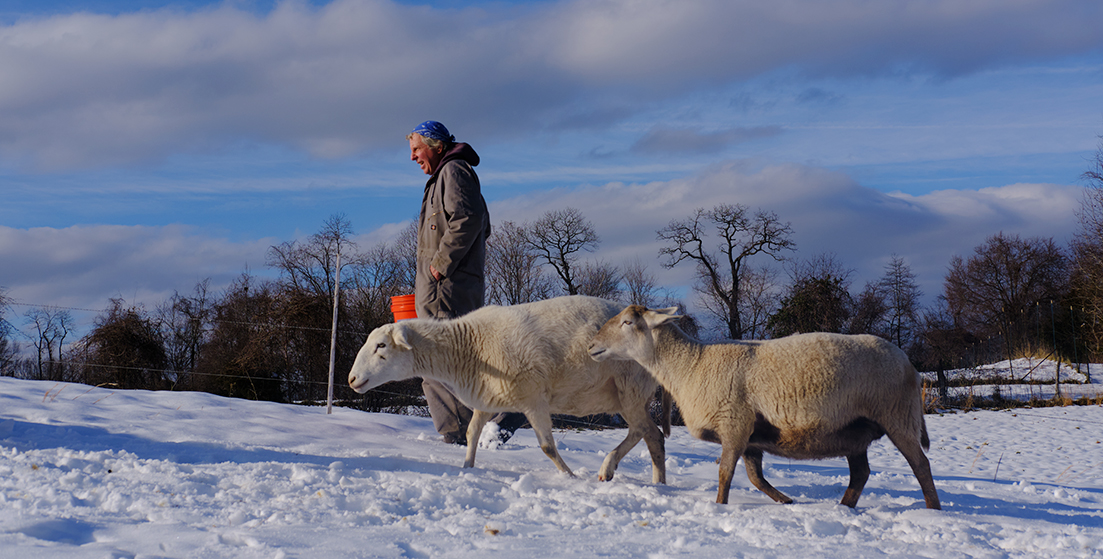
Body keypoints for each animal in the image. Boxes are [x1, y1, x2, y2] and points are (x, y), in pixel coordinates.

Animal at [348, 295, 666, 482]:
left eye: (381, 346)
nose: (351, 380)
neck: (468, 347)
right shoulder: (486, 398)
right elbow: (472, 433)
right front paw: (467, 467)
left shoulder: (533, 398)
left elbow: (547, 446)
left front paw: (569, 476)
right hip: (627, 396)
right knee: (650, 434)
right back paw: (648, 480)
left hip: (630, 388)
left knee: (647, 432)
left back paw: (619, 471)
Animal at [591, 304, 944, 509]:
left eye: (627, 322)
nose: (592, 345)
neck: (691, 365)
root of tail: (911, 366)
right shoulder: (750, 435)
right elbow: (754, 478)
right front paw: (786, 501)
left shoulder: (734, 424)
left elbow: (725, 474)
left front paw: (719, 507)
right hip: (854, 431)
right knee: (861, 473)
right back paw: (843, 508)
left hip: (898, 416)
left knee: (921, 466)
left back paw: (933, 510)